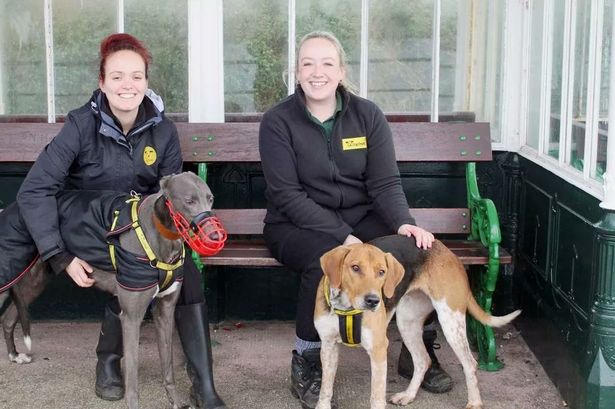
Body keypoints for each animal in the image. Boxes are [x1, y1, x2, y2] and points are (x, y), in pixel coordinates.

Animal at [0, 172, 221, 408]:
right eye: (189, 201)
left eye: (210, 198)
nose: (216, 238)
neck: (159, 234)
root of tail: (11, 208)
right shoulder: (132, 317)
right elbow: (132, 379)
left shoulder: (165, 311)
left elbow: (168, 367)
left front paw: (176, 402)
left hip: (35, 281)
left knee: (8, 317)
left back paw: (15, 355)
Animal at [316, 234, 524, 408]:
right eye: (355, 268)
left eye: (382, 272)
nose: (373, 301)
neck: (346, 308)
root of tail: (447, 252)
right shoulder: (328, 346)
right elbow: (325, 389)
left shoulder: (378, 349)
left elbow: (376, 397)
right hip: (407, 322)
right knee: (423, 360)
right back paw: (408, 395)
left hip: (451, 322)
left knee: (469, 363)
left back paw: (474, 402)